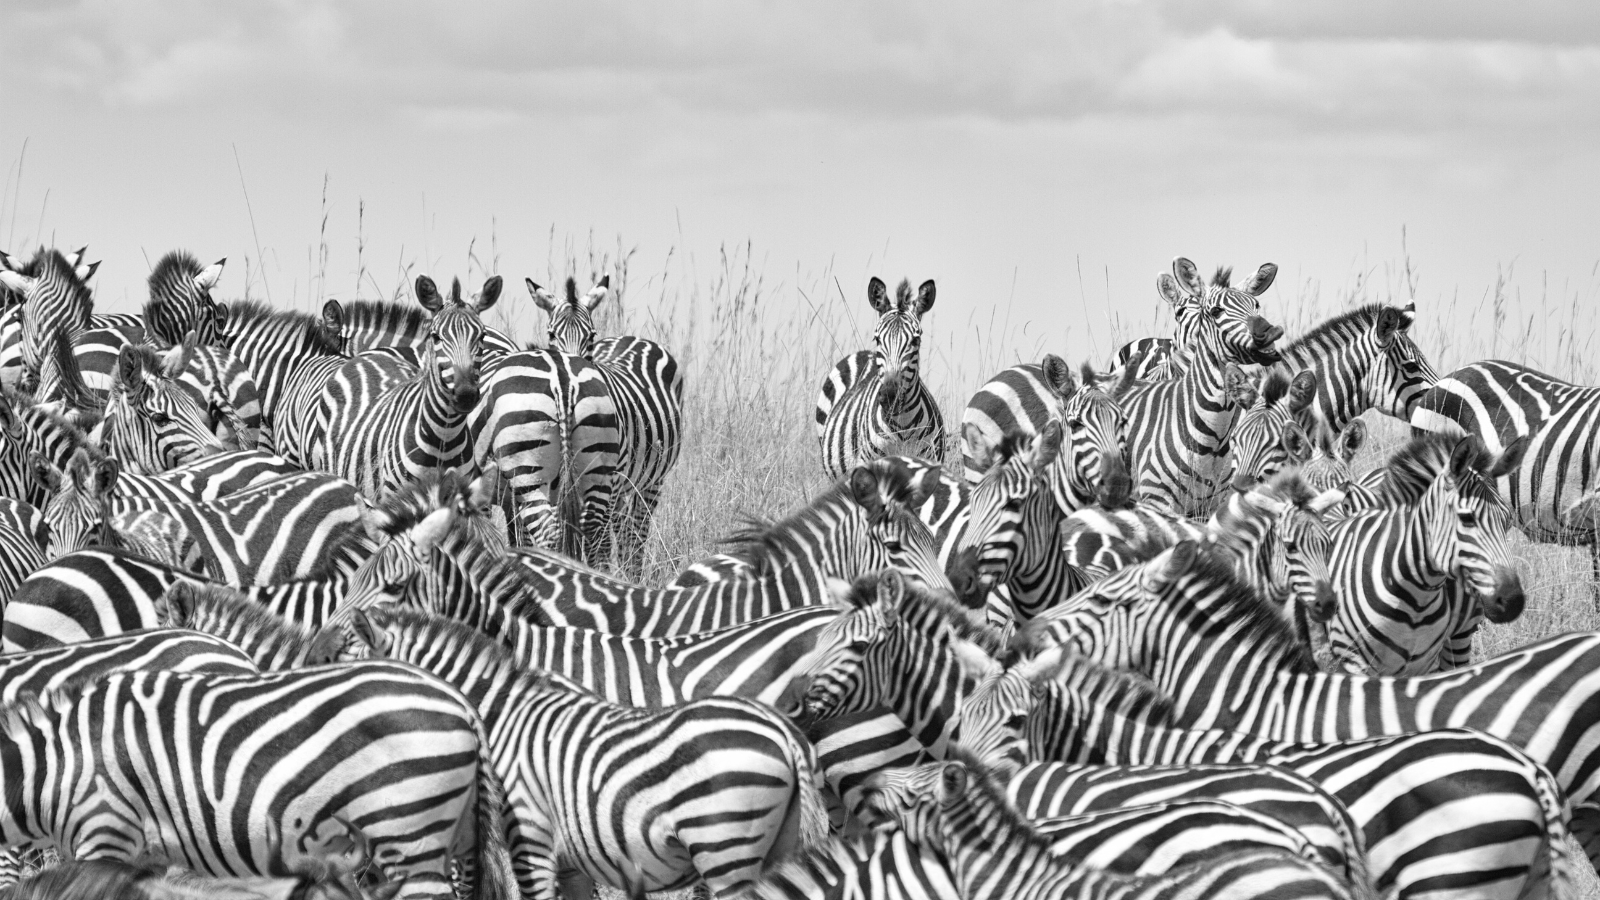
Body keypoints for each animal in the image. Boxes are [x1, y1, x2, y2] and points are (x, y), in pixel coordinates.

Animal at [0, 664, 516, 900]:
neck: (56, 762)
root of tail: (459, 700)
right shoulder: (149, 856)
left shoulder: (106, 828)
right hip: (457, 838)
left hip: (409, 831)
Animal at [313, 610, 831, 900]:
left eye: (338, 667)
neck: (498, 718)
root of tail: (782, 731)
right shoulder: (571, 861)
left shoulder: (530, 839)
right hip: (775, 845)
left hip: (726, 847)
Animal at [528, 274, 684, 576]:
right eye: (551, 335)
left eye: (590, 336)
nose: (571, 367)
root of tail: (631, 338)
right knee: (622, 530)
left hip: (650, 480)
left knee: (636, 531)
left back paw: (631, 573)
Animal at [1324, 432, 1528, 675]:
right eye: (1466, 518)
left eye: (1508, 521)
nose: (1513, 601)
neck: (1416, 600)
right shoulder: (1355, 664)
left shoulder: (1430, 661)